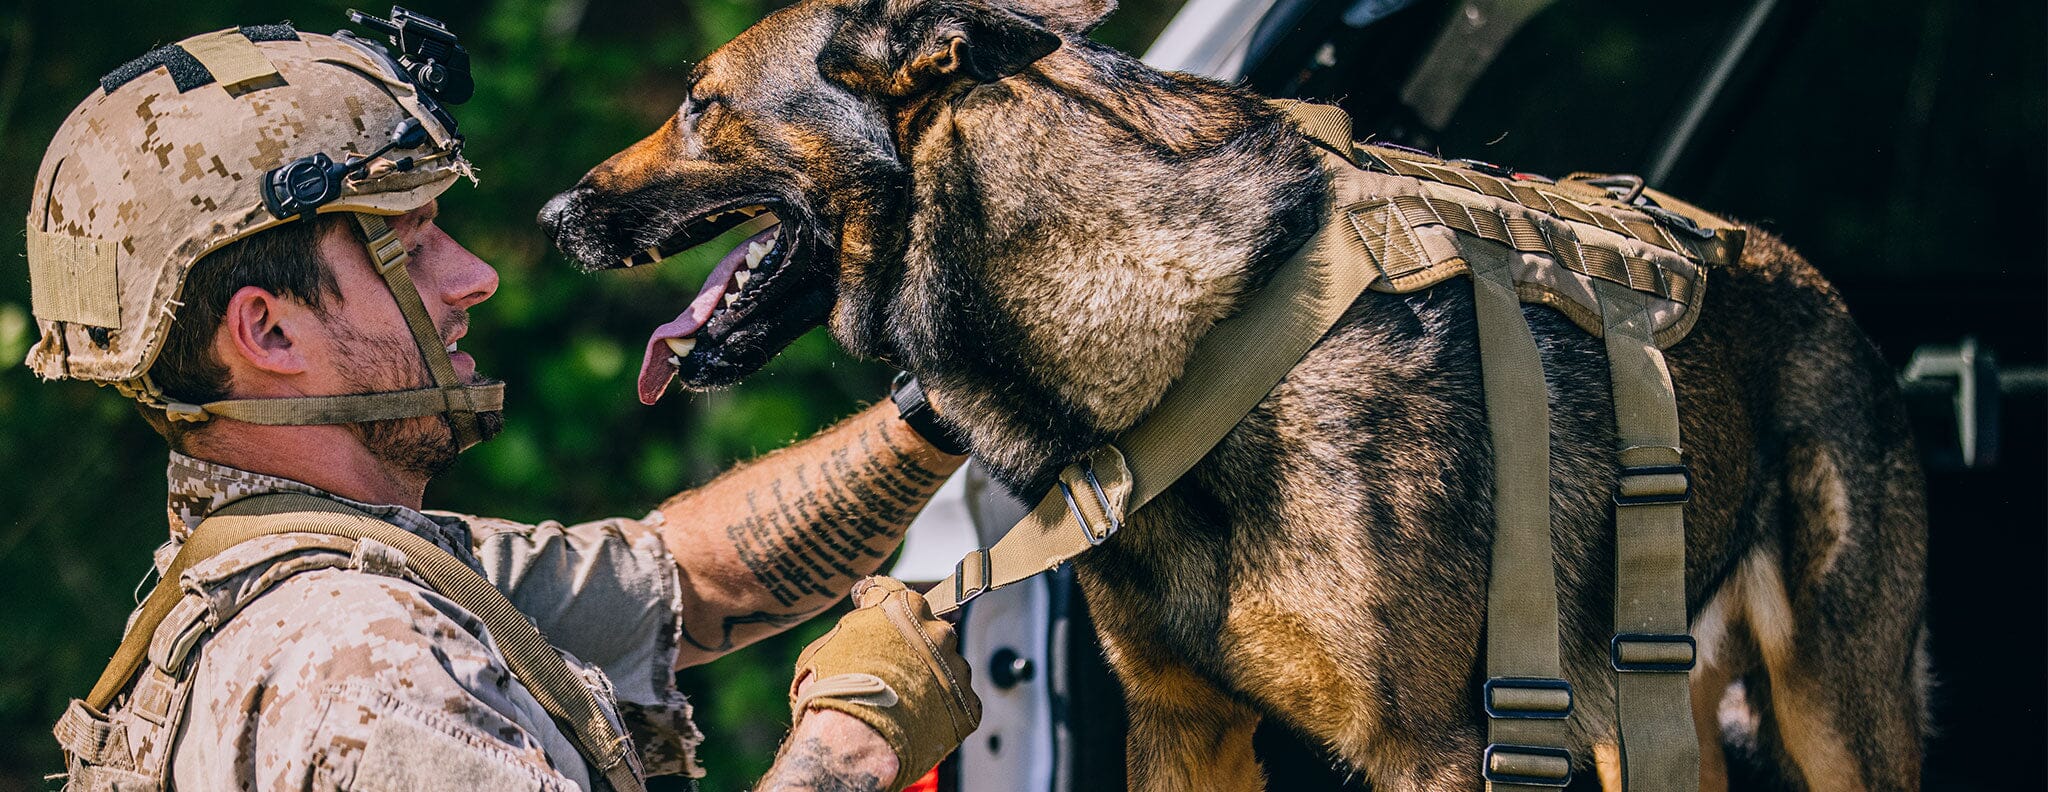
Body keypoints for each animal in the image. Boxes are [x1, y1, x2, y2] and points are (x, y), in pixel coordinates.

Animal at [536, 0, 1925, 785]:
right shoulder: (1183, 725)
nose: (549, 215)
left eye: (701, 106)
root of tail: (1815, 284)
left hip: (1834, 720)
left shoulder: (1430, 751)